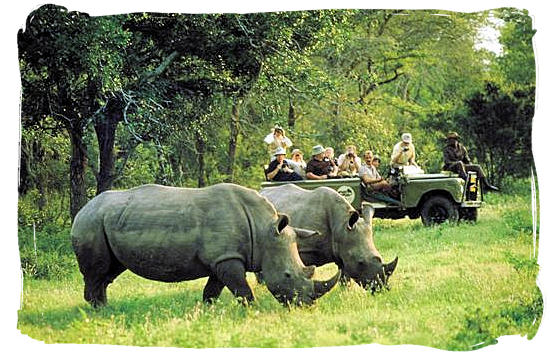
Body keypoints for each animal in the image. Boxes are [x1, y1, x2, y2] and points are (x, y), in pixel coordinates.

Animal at [260, 184, 398, 292]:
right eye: (360, 262)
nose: (381, 288)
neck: (342, 225)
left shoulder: (342, 250)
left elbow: (344, 276)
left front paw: (345, 293)